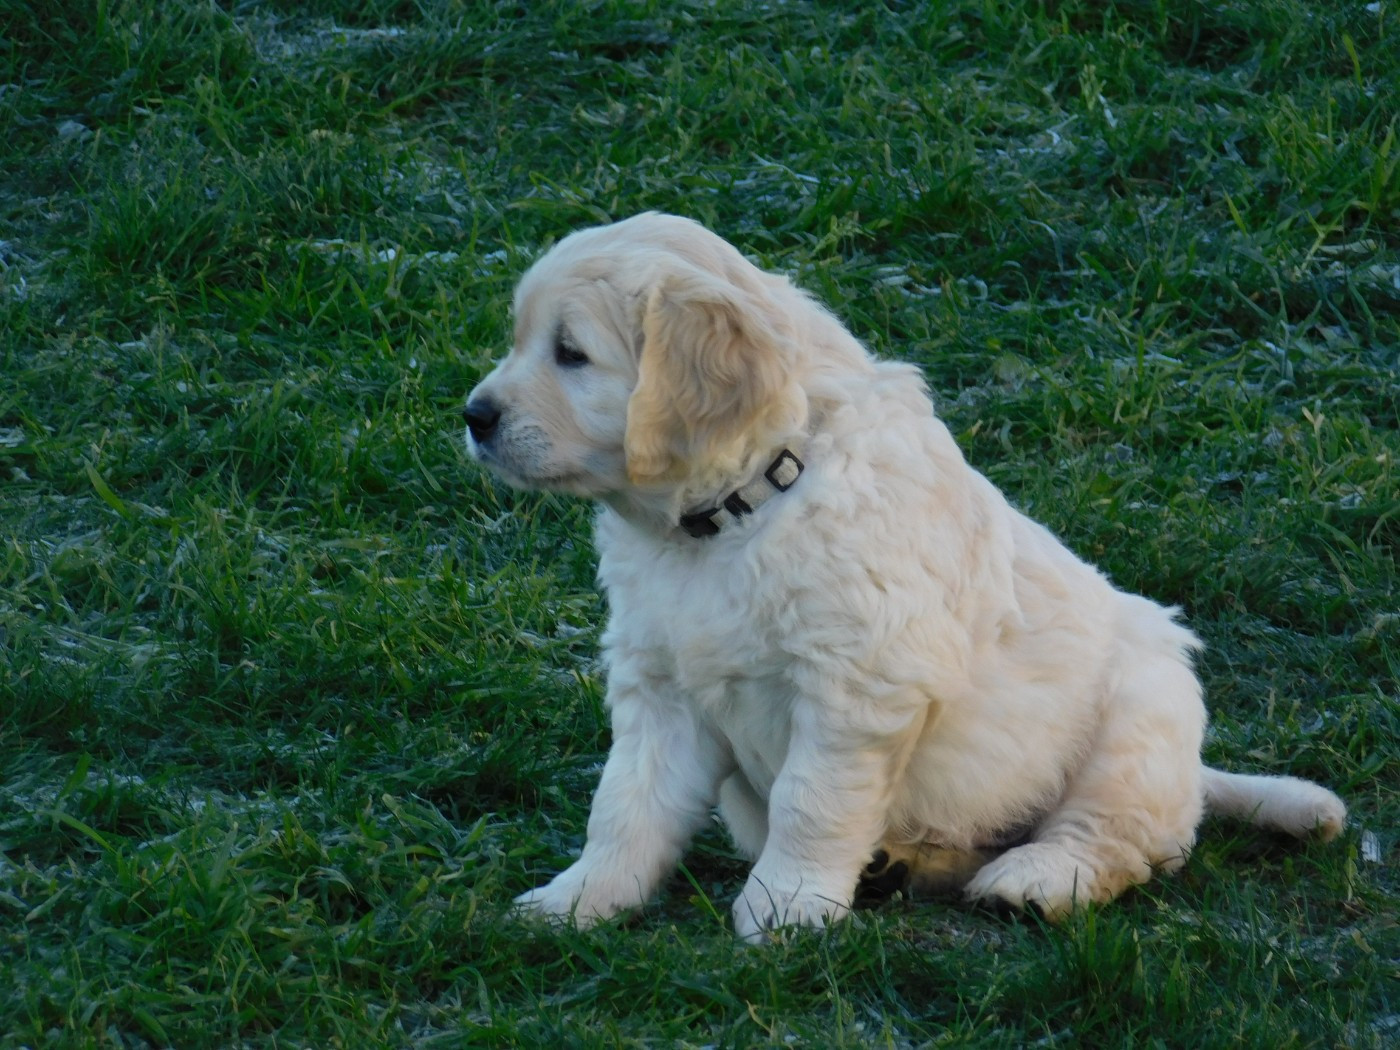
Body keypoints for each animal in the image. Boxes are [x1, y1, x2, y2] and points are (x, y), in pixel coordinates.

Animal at [463, 212, 1346, 941]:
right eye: (523, 339)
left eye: (572, 354)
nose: (474, 415)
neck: (740, 512)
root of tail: (1195, 774)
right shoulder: (660, 686)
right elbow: (625, 806)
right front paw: (579, 899)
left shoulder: (856, 684)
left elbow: (809, 800)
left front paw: (786, 906)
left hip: (1141, 711)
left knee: (1116, 837)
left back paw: (1032, 880)